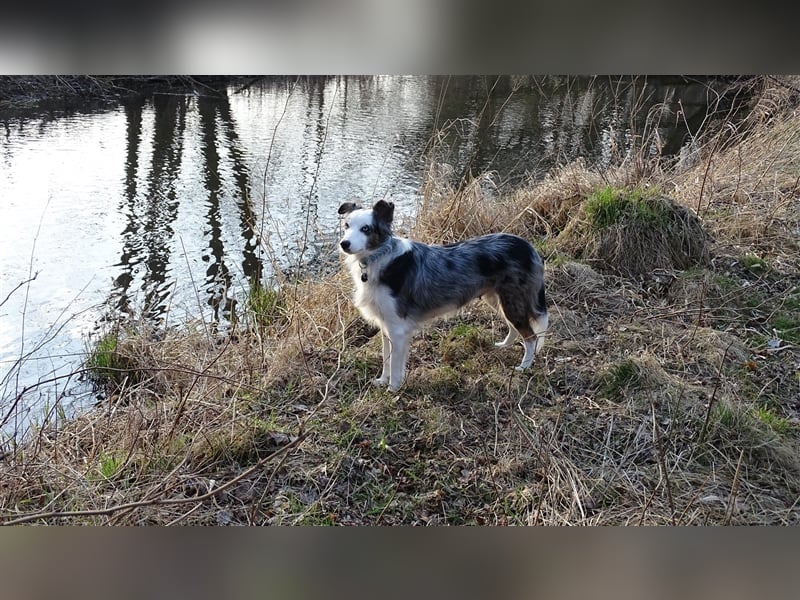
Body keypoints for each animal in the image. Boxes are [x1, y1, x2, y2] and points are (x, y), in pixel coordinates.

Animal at [338, 199, 552, 392]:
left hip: (513, 301)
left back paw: (524, 367)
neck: (379, 257)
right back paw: (505, 346)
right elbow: (386, 358)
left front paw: (393, 389)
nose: (344, 244)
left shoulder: (397, 329)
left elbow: (395, 364)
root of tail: (527, 246)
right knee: (515, 327)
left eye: (366, 229)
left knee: (531, 337)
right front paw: (383, 381)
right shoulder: (385, 326)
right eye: (347, 226)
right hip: (498, 299)